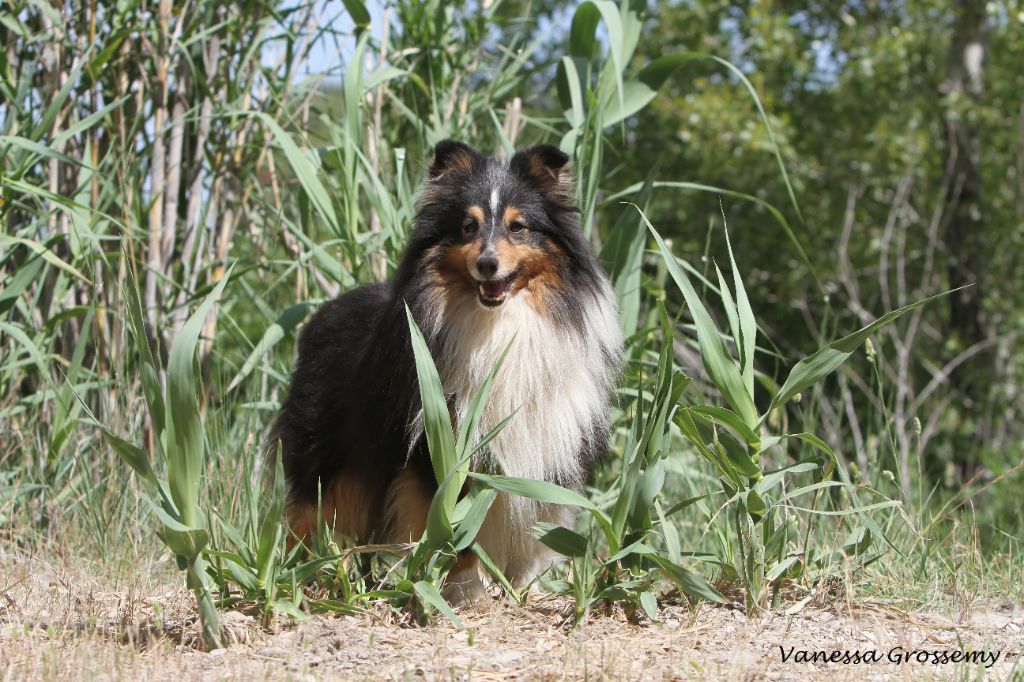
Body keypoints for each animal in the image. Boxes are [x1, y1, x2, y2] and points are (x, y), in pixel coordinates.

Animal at [272, 139, 618, 602]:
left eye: (518, 227)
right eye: (468, 227)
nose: (487, 264)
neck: (499, 326)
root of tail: (324, 312)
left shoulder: (550, 442)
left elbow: (537, 523)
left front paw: (526, 589)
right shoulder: (438, 444)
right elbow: (458, 526)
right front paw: (466, 590)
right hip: (329, 458)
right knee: (309, 514)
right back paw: (299, 575)